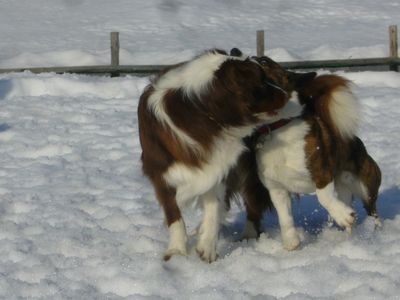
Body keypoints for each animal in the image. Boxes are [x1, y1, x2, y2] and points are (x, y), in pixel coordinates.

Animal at [136, 49, 302, 262]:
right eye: (261, 82)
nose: (286, 93)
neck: (200, 110)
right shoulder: (161, 172)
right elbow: (174, 215)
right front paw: (177, 251)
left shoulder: (217, 166)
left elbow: (214, 209)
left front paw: (207, 248)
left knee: (253, 201)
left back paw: (247, 236)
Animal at [236, 55, 382, 250]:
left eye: (265, 62)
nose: (243, 56)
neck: (276, 128)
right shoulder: (276, 188)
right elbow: (285, 216)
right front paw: (291, 242)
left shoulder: (322, 175)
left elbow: (323, 198)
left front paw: (344, 216)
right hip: (343, 188)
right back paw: (348, 237)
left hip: (366, 187)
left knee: (373, 212)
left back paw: (375, 232)